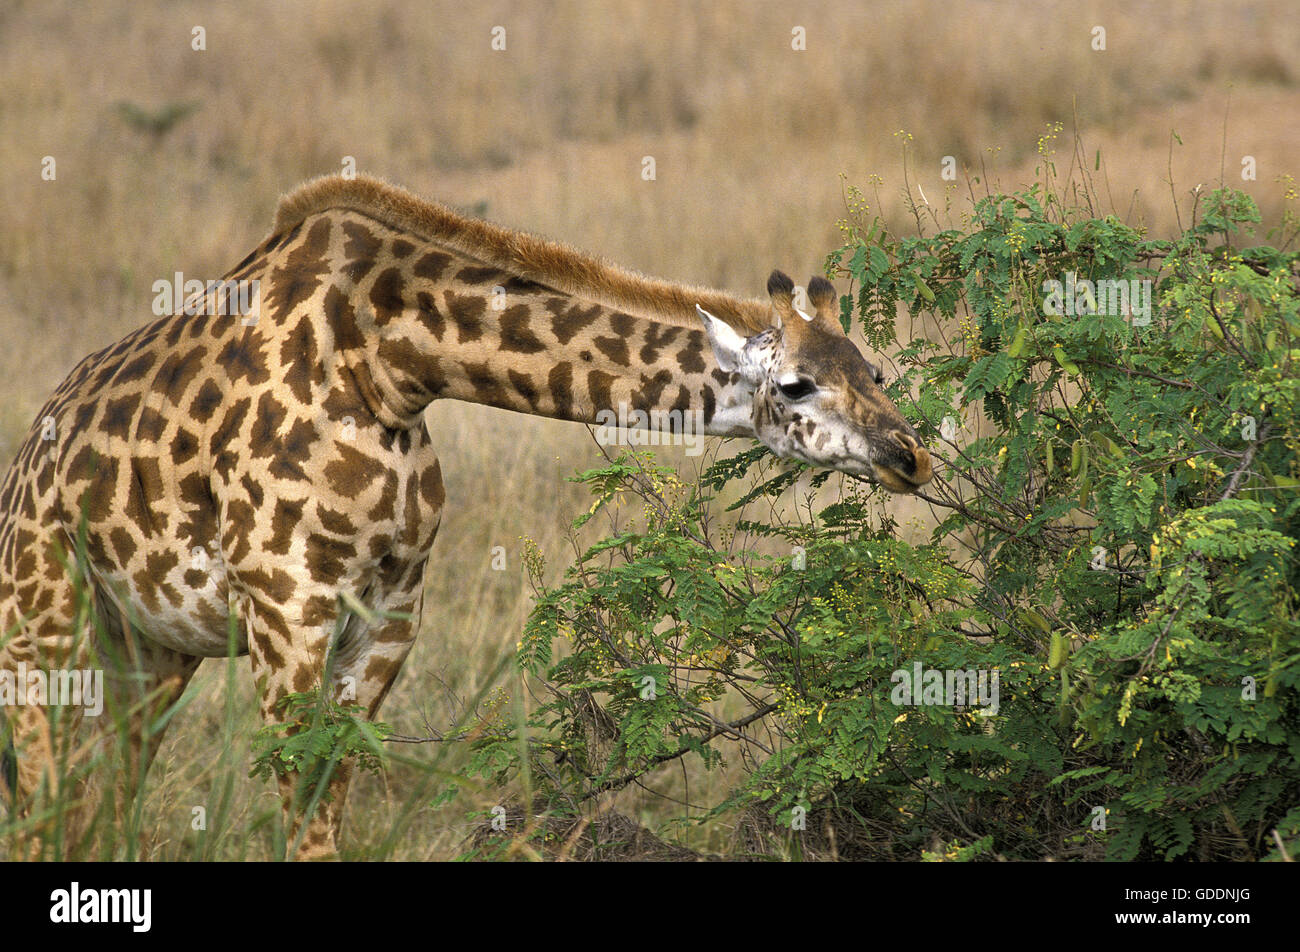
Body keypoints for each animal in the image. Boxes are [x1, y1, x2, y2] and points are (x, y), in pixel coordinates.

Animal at [0, 173, 932, 859]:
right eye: (795, 385)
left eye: (876, 369)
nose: (909, 457)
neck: (387, 363)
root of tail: (23, 472)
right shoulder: (286, 609)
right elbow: (303, 818)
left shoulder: (390, 616)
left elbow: (329, 802)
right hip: (42, 627)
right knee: (46, 797)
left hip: (149, 649)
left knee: (99, 803)